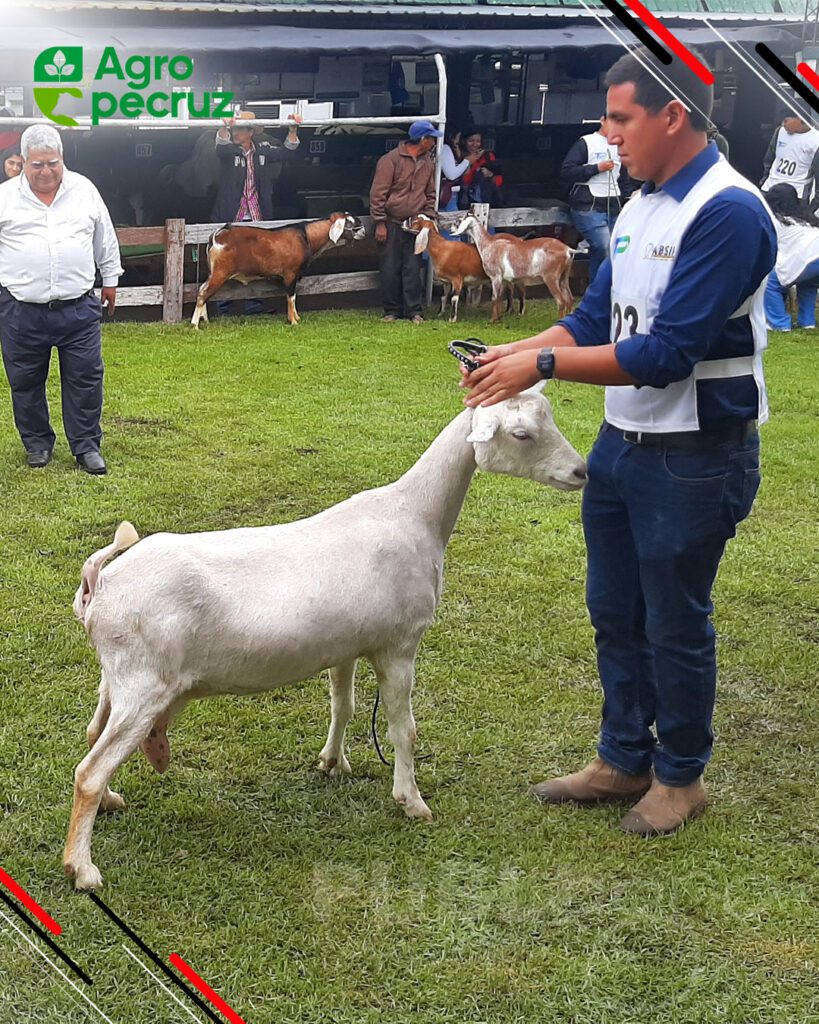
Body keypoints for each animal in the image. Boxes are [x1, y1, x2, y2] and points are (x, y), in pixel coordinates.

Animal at [64, 387, 587, 890]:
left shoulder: (347, 645)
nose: (581, 471)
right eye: (521, 434)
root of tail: (99, 585)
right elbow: (404, 729)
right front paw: (412, 801)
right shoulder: (399, 645)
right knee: (89, 770)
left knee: (92, 736)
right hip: (144, 685)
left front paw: (332, 762)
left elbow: (344, 705)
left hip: (118, 679)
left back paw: (111, 800)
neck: (413, 514)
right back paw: (82, 868)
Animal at [191, 213, 365, 328]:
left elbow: (292, 297)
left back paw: (204, 320)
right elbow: (291, 297)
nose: (363, 232)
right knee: (203, 294)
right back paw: (195, 325)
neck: (306, 236)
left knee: (202, 289)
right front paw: (293, 321)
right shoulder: (290, 273)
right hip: (220, 273)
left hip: (213, 272)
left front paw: (296, 318)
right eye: (349, 223)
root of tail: (217, 237)